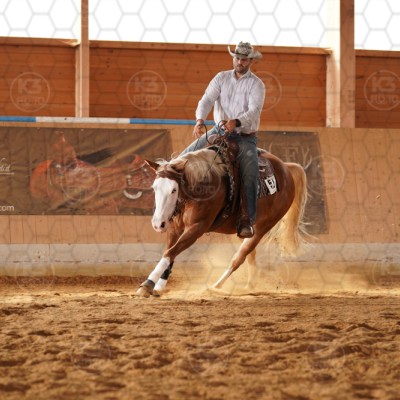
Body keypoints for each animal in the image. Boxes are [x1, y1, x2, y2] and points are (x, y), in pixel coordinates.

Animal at [135, 146, 308, 297]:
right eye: (154, 187)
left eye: (173, 190)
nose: (158, 224)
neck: (201, 184)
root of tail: (286, 168)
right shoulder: (175, 228)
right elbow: (170, 253)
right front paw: (159, 286)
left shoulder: (196, 228)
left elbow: (170, 252)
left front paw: (147, 285)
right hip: (248, 231)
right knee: (250, 257)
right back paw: (249, 285)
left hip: (262, 228)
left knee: (238, 258)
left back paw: (215, 286)